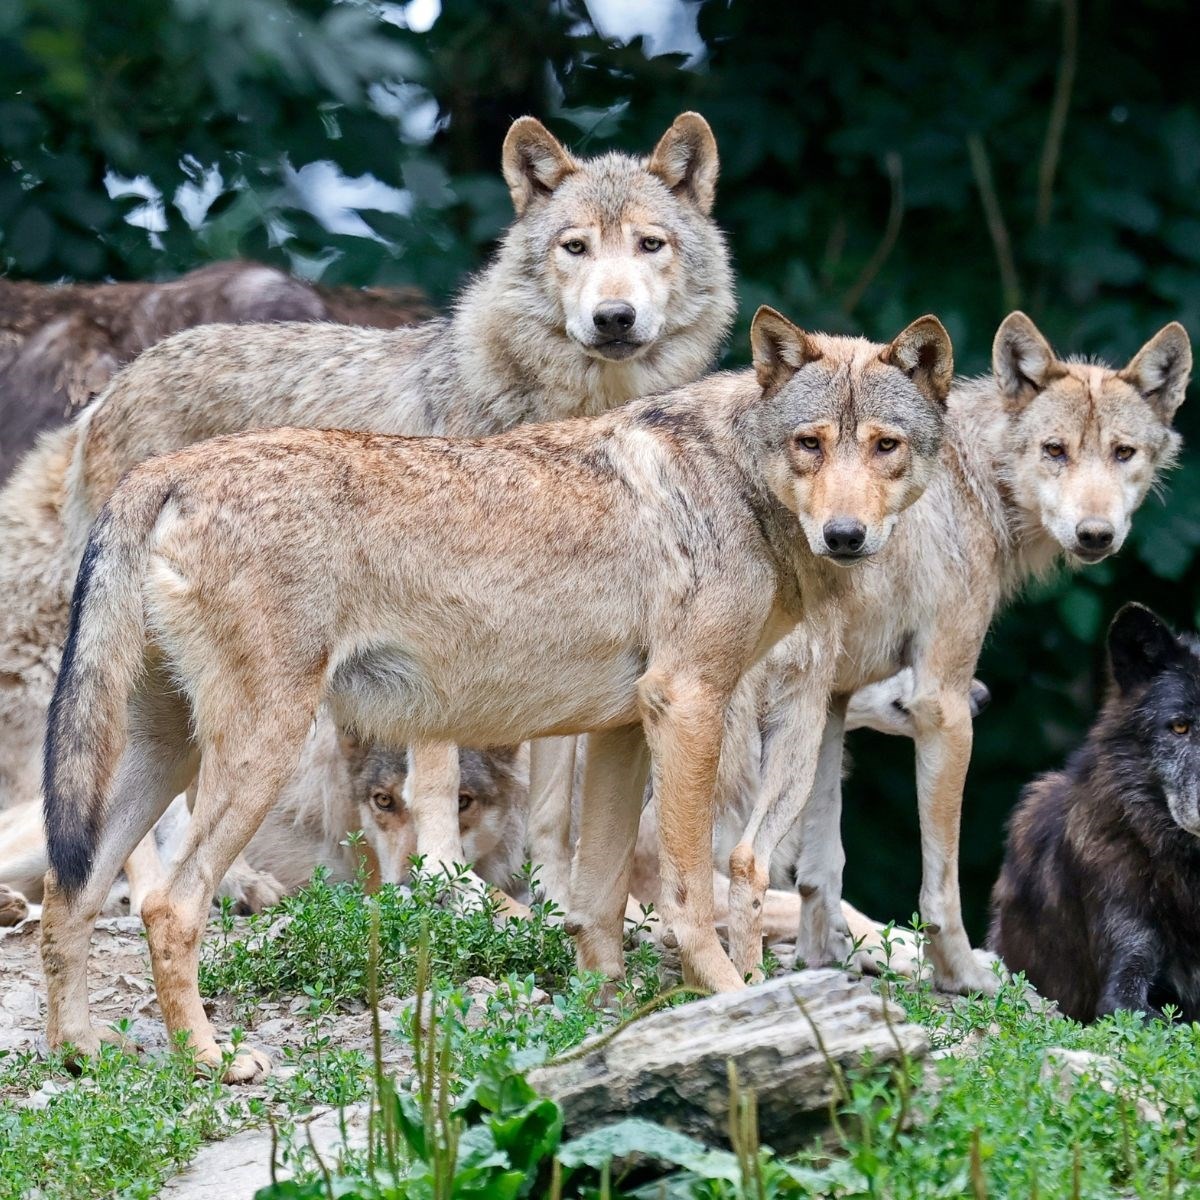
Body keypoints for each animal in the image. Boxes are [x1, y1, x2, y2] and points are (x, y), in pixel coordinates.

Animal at [42, 304, 950, 1084]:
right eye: (810, 444)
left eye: (885, 446)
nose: (845, 536)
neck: (738, 476)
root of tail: (162, 473)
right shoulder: (687, 705)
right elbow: (693, 896)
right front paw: (729, 1002)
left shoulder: (623, 729)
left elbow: (598, 903)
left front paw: (607, 1020)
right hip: (255, 751)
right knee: (169, 903)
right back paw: (209, 1059)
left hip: (163, 754)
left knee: (71, 893)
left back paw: (81, 1054)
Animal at [720, 309, 1190, 993]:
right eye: (1055, 451)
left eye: (1122, 453)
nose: (1095, 535)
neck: (975, 482)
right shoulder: (942, 703)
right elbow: (941, 883)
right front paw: (963, 975)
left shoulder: (836, 701)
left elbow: (823, 867)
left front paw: (820, 960)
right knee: (732, 862)